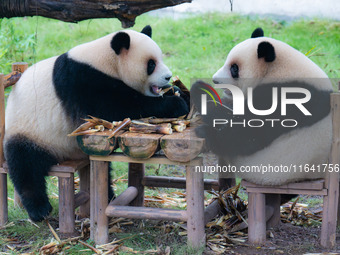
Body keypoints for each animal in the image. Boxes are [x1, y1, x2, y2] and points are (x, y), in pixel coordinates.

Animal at [3, 25, 190, 221]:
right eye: (151, 64)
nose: (168, 77)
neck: (106, 61)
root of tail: (63, 156)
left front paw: (179, 91)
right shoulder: (85, 82)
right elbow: (117, 108)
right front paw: (176, 103)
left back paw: (109, 196)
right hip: (30, 132)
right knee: (25, 165)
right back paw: (39, 210)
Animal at [191, 27, 332, 187]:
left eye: (234, 68)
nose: (215, 80)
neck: (278, 69)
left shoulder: (287, 95)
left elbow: (249, 132)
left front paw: (200, 90)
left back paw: (206, 133)